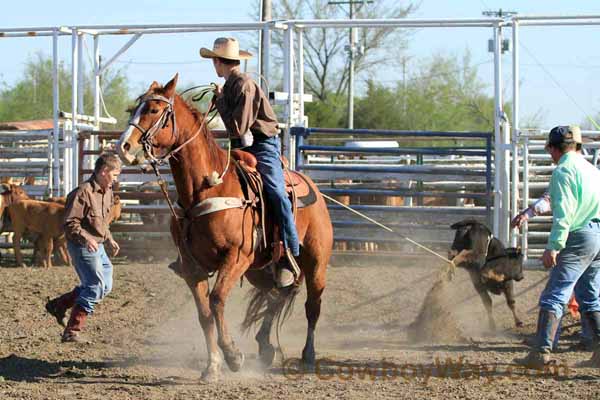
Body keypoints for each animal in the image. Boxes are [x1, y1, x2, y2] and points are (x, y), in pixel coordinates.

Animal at [117, 74, 332, 382]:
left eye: (154, 110)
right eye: (132, 109)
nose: (123, 147)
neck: (207, 188)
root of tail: (313, 186)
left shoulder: (236, 257)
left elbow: (217, 300)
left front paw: (233, 356)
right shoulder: (192, 267)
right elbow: (204, 313)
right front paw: (213, 366)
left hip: (315, 262)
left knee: (312, 305)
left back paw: (308, 357)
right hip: (260, 270)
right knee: (276, 295)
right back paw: (265, 346)